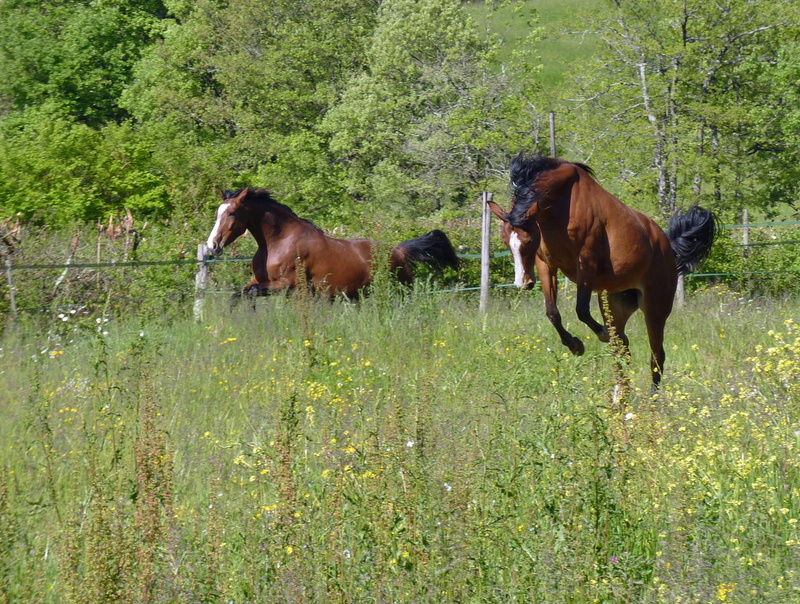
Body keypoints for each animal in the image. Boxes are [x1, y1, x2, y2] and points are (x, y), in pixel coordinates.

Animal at [206, 187, 460, 301]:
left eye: (232, 213)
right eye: (217, 212)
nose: (212, 245)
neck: (278, 243)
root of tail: (398, 251)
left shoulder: (288, 286)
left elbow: (251, 293)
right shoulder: (259, 282)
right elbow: (239, 295)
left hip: (398, 291)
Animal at [488, 153, 718, 389]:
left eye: (528, 240)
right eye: (505, 241)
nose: (522, 283)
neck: (563, 205)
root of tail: (668, 248)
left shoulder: (586, 264)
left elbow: (581, 310)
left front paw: (599, 336)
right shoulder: (546, 265)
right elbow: (552, 312)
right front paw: (575, 345)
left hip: (655, 310)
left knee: (656, 357)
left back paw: (651, 396)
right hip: (616, 307)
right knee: (623, 354)